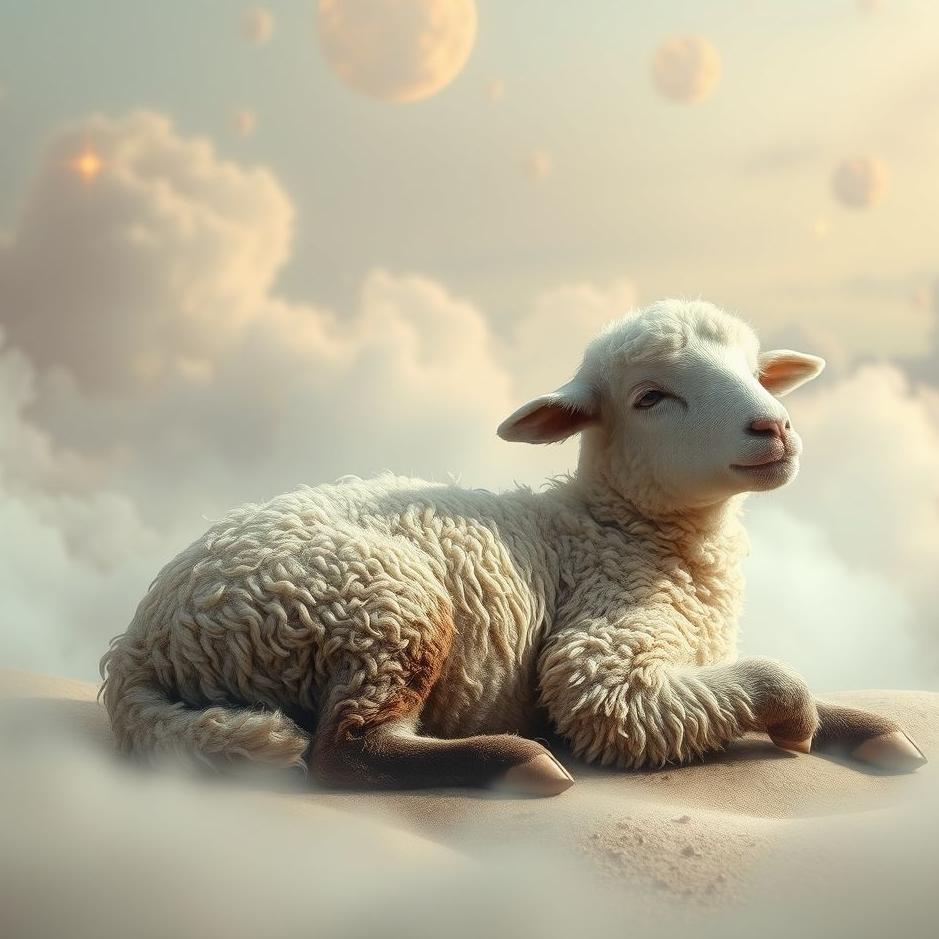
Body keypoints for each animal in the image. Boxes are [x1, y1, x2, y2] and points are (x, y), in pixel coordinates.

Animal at [100, 299, 927, 795]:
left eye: (758, 373)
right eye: (649, 397)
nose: (774, 427)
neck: (617, 528)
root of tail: (139, 643)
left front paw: (872, 732)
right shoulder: (602, 661)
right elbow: (765, 681)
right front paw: (796, 721)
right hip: (380, 603)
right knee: (342, 749)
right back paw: (517, 760)